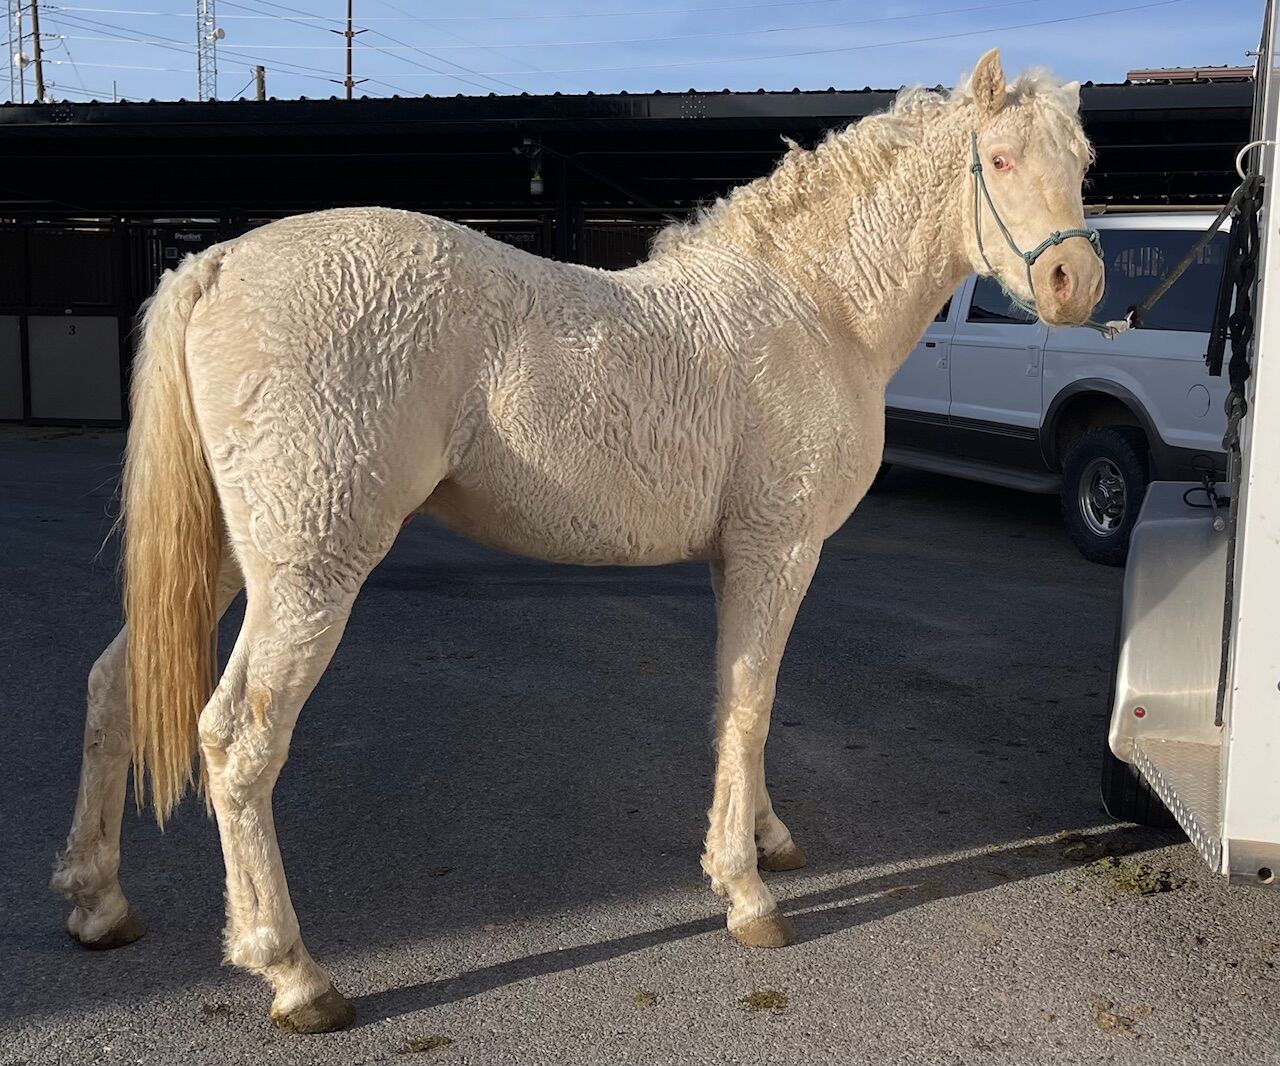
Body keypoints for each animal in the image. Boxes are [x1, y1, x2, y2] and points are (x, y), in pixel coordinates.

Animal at [50, 49, 1103, 1034]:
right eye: (1000, 159)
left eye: (1084, 162)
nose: (1076, 283)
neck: (812, 306)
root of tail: (215, 264)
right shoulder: (778, 551)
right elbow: (753, 704)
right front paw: (746, 895)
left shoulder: (736, 560)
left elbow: (736, 701)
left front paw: (764, 838)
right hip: (311, 572)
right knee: (240, 743)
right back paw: (295, 973)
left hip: (232, 562)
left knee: (113, 685)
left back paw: (99, 904)